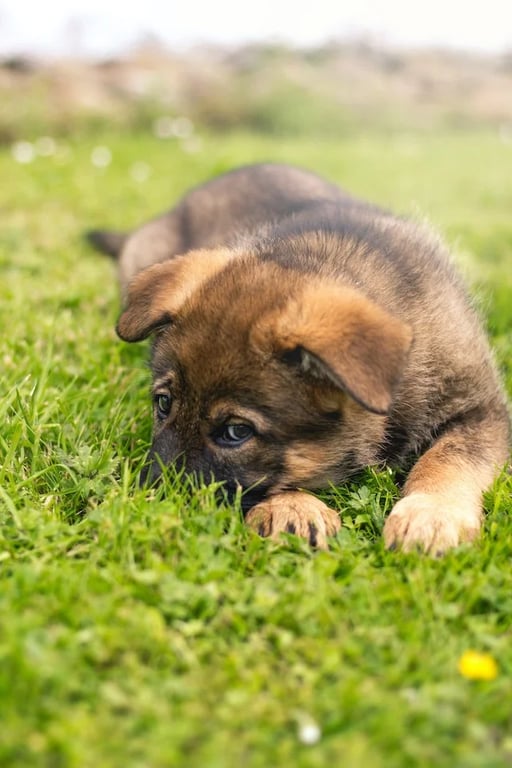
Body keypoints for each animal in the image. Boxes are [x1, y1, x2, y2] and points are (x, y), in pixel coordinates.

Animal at [87, 165, 508, 556]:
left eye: (236, 432)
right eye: (163, 403)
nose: (147, 507)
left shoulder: (483, 409)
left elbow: (450, 456)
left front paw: (431, 514)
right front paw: (291, 508)